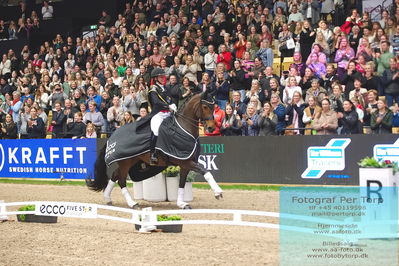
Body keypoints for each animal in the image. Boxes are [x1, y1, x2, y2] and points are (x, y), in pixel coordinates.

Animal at [87, 91, 223, 208]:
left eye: (214, 107)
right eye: (205, 106)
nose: (211, 128)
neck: (183, 128)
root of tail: (112, 136)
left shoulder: (185, 164)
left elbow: (182, 183)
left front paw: (181, 204)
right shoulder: (185, 161)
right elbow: (205, 172)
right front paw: (218, 192)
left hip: (131, 160)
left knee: (115, 175)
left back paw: (108, 199)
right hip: (126, 161)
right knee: (121, 180)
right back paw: (132, 203)